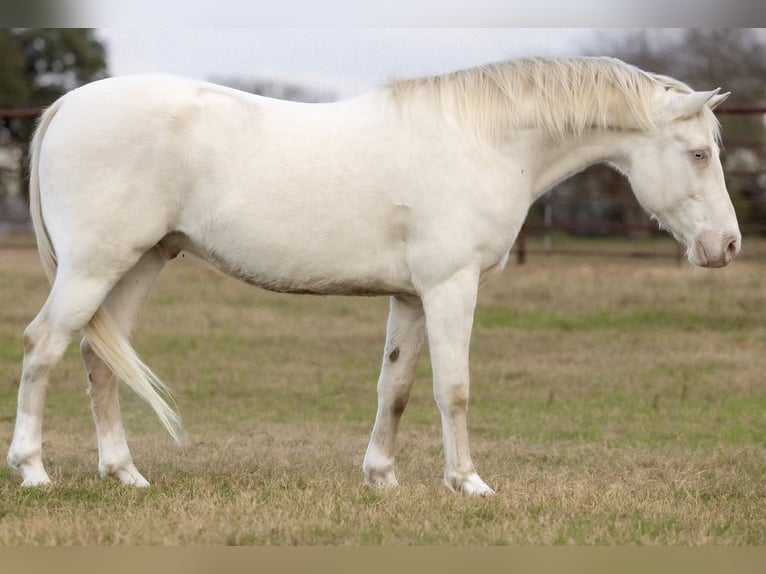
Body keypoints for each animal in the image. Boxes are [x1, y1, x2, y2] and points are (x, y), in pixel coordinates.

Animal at [7, 57, 740, 496]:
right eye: (699, 154)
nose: (727, 245)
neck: (482, 140)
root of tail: (66, 107)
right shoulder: (451, 287)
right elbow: (453, 389)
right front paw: (468, 484)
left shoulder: (412, 298)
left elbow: (398, 388)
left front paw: (381, 477)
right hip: (94, 269)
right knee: (43, 347)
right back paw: (33, 470)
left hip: (137, 266)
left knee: (97, 361)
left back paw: (124, 473)